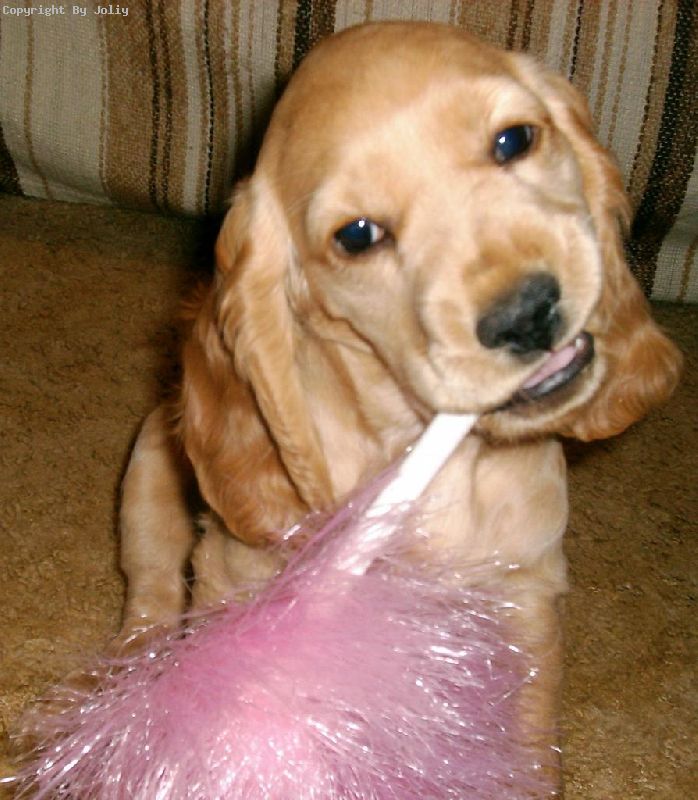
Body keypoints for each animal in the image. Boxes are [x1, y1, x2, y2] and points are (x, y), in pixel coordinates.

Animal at [118, 21, 681, 786]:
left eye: (514, 140)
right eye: (358, 236)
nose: (528, 313)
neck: (427, 456)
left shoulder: (526, 592)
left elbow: (529, 743)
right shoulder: (241, 577)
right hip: (151, 465)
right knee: (148, 595)